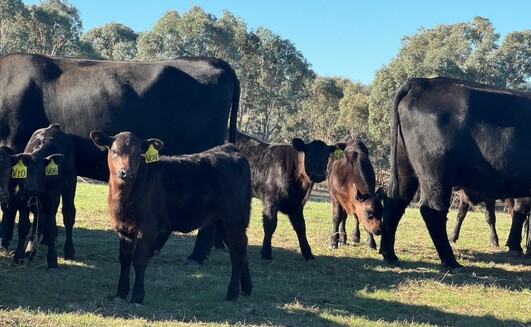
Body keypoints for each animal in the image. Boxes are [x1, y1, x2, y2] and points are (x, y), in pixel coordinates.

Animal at [0, 123, 77, 270]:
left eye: (41, 172)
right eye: (25, 173)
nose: (30, 189)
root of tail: (54, 126)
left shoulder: (52, 199)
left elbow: (51, 228)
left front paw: (52, 261)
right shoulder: (22, 199)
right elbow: (24, 227)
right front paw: (18, 257)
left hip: (70, 185)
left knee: (68, 215)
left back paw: (69, 251)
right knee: (39, 221)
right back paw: (30, 251)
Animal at [91, 131, 254, 304]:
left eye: (138, 153)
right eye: (114, 151)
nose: (127, 173)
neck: (126, 199)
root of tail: (230, 149)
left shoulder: (148, 228)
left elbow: (139, 259)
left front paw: (137, 296)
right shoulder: (123, 229)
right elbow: (124, 259)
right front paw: (120, 293)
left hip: (235, 218)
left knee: (238, 250)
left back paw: (232, 293)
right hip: (222, 221)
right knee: (240, 249)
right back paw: (246, 288)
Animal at [382, 77, 531, 270]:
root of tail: (421, 82)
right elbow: (522, 211)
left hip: (405, 168)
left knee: (395, 202)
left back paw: (389, 254)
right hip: (437, 174)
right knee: (432, 211)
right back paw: (451, 261)